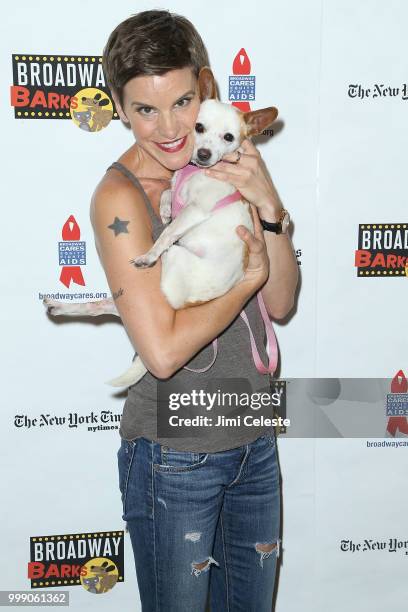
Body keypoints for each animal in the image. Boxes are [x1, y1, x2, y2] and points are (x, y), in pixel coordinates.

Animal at [43, 68, 278, 388]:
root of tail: (186, 304)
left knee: (128, 291)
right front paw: (166, 207)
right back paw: (63, 306)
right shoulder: (179, 190)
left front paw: (152, 249)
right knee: (108, 307)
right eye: (199, 127)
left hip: (176, 257)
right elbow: (168, 192)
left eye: (229, 137)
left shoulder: (195, 210)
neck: (195, 172)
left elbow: (168, 231)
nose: (204, 154)